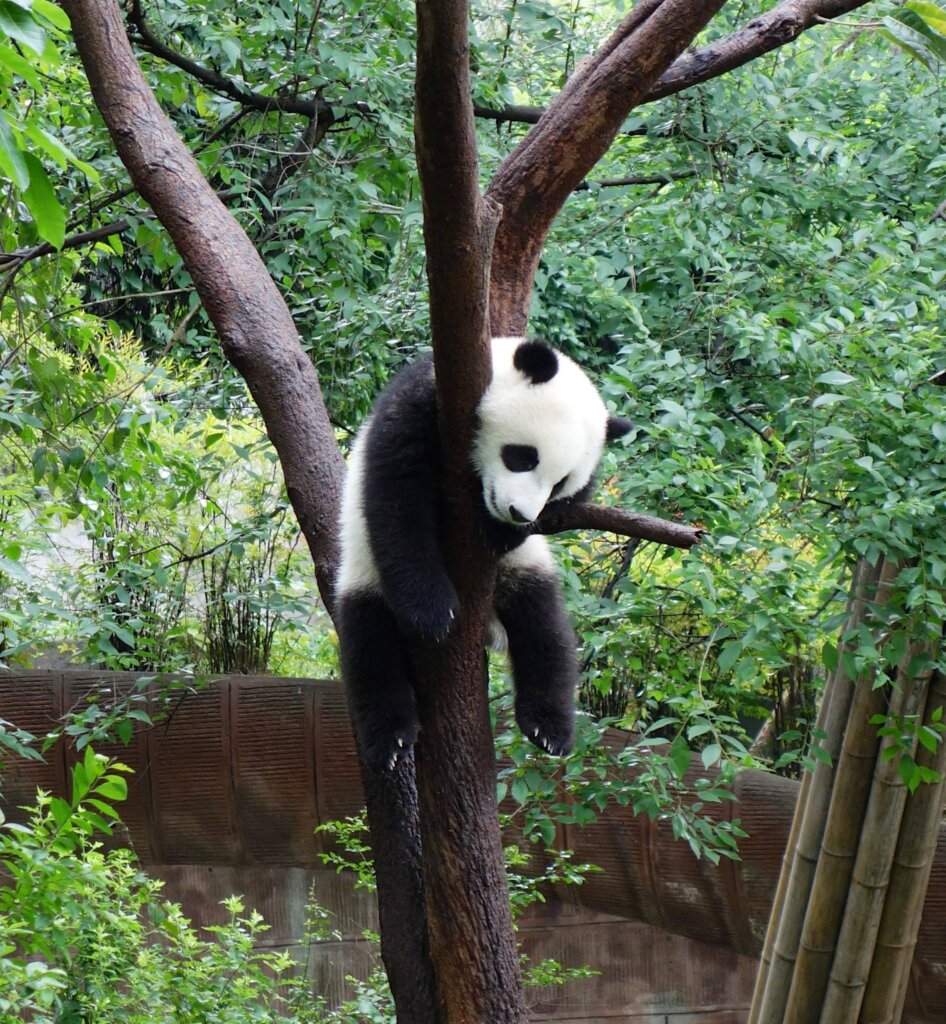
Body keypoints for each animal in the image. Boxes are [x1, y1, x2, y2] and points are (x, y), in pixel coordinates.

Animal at [335, 335, 630, 770]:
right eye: (523, 456)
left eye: (560, 482)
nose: (518, 513)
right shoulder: (417, 406)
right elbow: (398, 500)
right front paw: (432, 614)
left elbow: (553, 517)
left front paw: (498, 533)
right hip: (364, 572)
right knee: (369, 647)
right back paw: (391, 740)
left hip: (522, 573)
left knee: (545, 631)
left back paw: (549, 728)